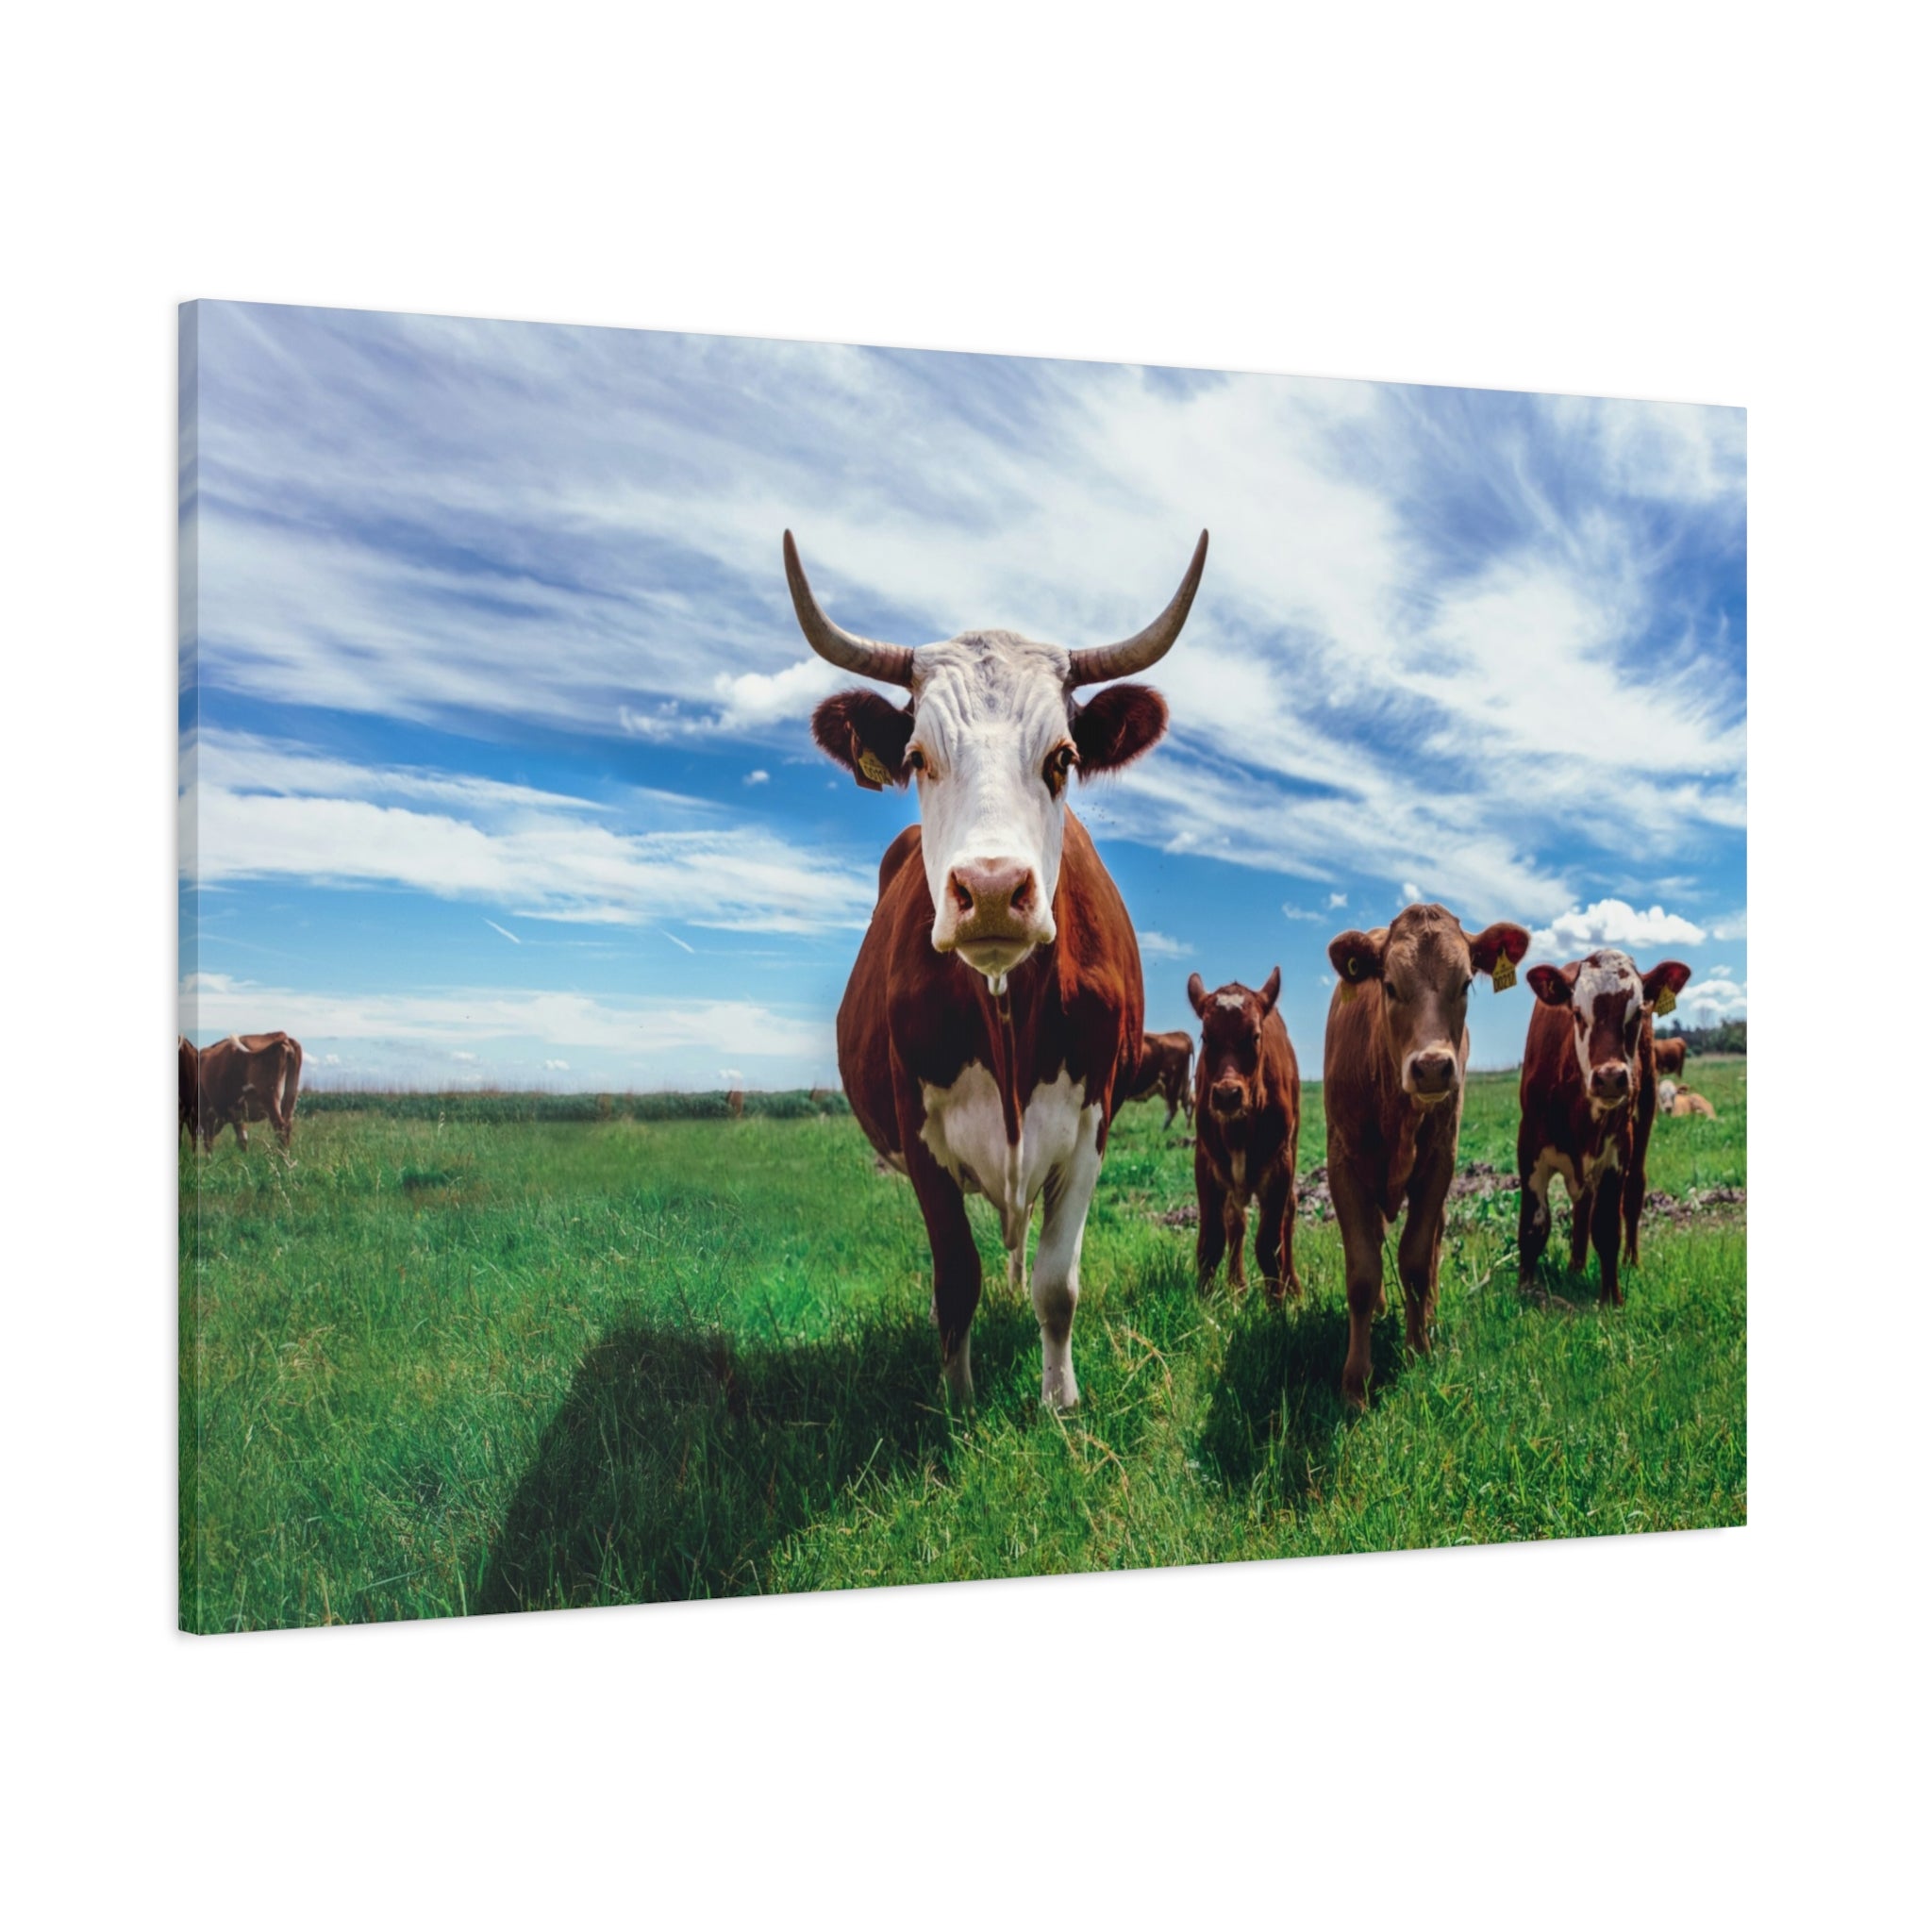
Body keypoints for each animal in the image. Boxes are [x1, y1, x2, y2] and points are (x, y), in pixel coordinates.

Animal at [791, 526, 1207, 1408]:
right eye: (918, 757)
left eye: (1064, 757)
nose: (988, 890)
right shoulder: (919, 1136)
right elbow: (956, 1279)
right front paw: (958, 1398)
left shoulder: (1091, 1124)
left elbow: (1058, 1281)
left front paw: (1059, 1398)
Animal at [1187, 968, 1301, 1300]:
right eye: (1206, 1036)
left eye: (1255, 1035)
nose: (1227, 1094)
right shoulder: (1206, 1163)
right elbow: (1211, 1242)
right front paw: (1205, 1301)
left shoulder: (1280, 1165)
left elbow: (1269, 1247)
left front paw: (1277, 1304)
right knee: (1235, 1221)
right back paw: (1236, 1285)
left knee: (1289, 1212)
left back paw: (1293, 1286)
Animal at [1324, 904, 1532, 1406]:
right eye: (1390, 985)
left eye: (1466, 983)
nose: (1434, 1066)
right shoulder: (1343, 1164)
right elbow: (1363, 1271)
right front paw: (1355, 1381)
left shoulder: (1440, 1162)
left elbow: (1417, 1260)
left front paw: (1418, 1349)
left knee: (1433, 1241)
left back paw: (1431, 1315)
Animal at [1517, 951, 1693, 1303]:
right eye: (1577, 1012)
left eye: (1637, 1013)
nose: (1610, 1077)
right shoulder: (1528, 1147)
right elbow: (1534, 1225)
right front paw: (1525, 1291)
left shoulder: (1617, 1151)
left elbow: (1607, 1227)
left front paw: (1612, 1297)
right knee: (1582, 1204)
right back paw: (1575, 1266)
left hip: (1645, 1111)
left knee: (1633, 1192)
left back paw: (1631, 1261)